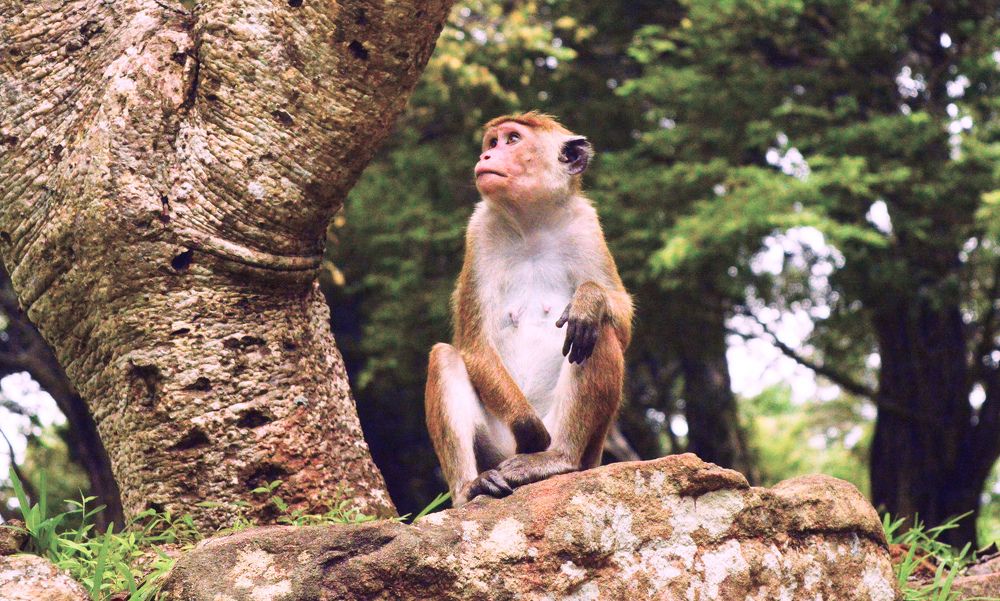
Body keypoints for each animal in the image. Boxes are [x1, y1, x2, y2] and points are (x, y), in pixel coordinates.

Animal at [424, 112, 633, 506]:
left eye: (513, 140)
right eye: (493, 142)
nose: (486, 156)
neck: (531, 222)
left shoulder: (586, 225)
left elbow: (621, 323)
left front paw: (590, 298)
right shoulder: (479, 232)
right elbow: (473, 345)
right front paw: (529, 430)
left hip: (589, 449)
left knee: (594, 333)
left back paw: (558, 458)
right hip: (495, 446)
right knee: (443, 356)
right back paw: (470, 487)